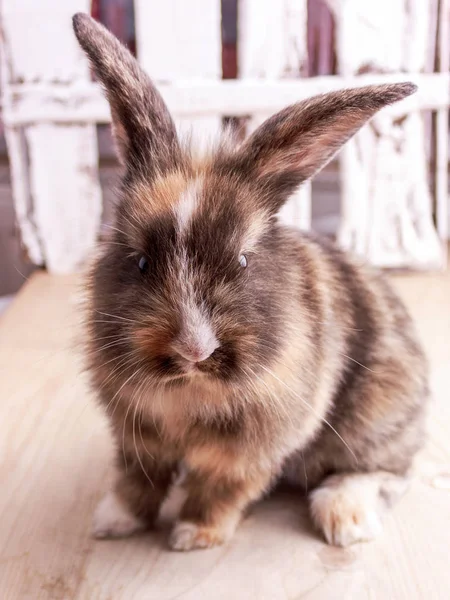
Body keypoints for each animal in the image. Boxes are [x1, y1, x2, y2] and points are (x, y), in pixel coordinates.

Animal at [73, 11, 428, 552]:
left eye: (242, 261)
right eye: (140, 262)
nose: (194, 350)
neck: (190, 388)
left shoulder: (249, 451)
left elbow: (220, 487)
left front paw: (193, 536)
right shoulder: (138, 438)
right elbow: (138, 479)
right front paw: (113, 522)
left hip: (378, 415)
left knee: (388, 471)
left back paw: (344, 519)